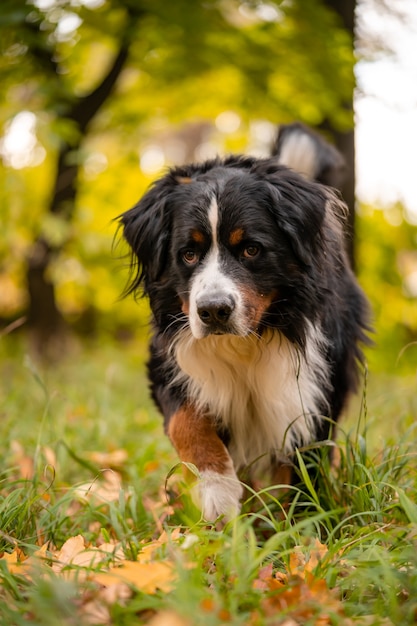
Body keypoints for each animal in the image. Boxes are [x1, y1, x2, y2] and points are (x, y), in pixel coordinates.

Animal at [118, 124, 368, 520]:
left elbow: (300, 462)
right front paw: (217, 492)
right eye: (188, 254)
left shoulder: (312, 386)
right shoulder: (171, 359)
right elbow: (187, 422)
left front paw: (293, 522)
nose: (213, 310)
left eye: (251, 249)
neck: (246, 341)